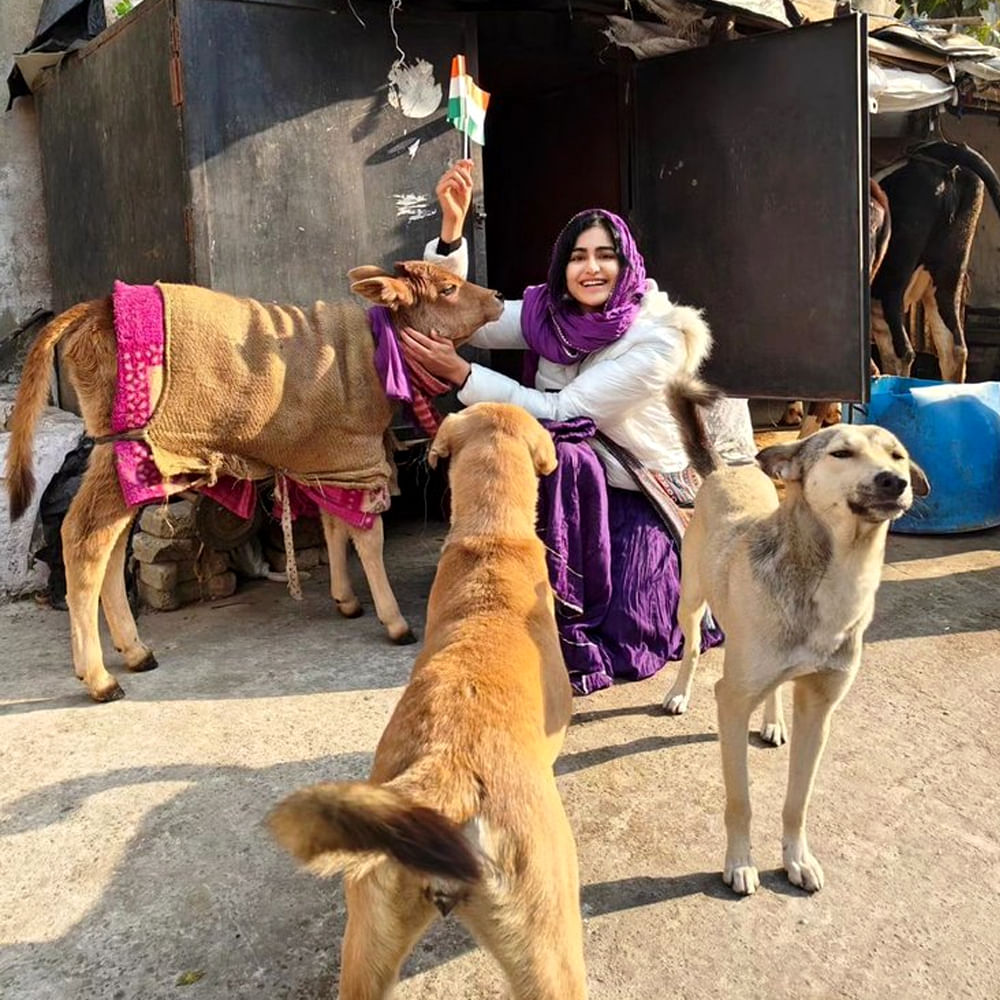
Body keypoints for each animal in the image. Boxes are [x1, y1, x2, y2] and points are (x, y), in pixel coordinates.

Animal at [664, 378, 928, 896]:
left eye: (898, 455)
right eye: (841, 452)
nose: (895, 480)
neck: (836, 573)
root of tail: (724, 471)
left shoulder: (819, 710)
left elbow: (798, 801)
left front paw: (796, 858)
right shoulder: (732, 700)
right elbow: (740, 801)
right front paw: (740, 863)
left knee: (774, 688)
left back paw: (773, 722)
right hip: (691, 600)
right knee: (692, 647)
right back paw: (680, 693)